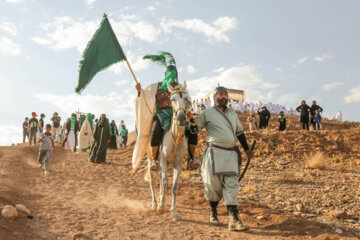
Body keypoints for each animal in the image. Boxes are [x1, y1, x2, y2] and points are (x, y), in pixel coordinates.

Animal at [148, 81, 190, 220]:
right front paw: (161, 207)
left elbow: (174, 187)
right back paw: (155, 204)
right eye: (172, 99)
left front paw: (174, 211)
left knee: (161, 180)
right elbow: (165, 181)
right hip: (150, 161)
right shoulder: (162, 160)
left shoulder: (178, 164)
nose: (181, 117)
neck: (175, 137)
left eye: (186, 98)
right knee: (153, 181)